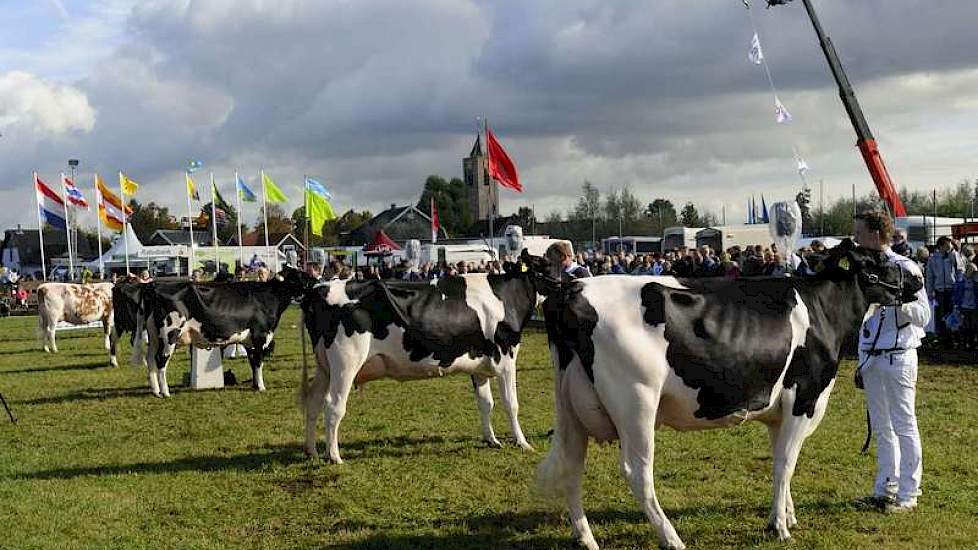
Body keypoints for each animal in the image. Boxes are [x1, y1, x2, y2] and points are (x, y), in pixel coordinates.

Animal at [141, 270, 306, 398]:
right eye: (298, 277)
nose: (310, 284)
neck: (268, 297)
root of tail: (156, 286)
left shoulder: (249, 341)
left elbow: (252, 362)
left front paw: (254, 385)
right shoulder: (260, 335)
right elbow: (259, 362)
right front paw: (261, 387)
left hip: (154, 336)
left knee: (150, 359)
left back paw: (156, 391)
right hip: (170, 334)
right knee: (161, 360)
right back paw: (165, 392)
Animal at [300, 266, 536, 464]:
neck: (506, 294)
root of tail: (318, 289)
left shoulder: (479, 365)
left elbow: (486, 403)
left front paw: (491, 440)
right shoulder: (506, 358)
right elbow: (511, 404)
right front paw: (522, 442)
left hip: (324, 367)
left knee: (313, 402)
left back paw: (312, 451)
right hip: (345, 362)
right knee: (333, 406)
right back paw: (334, 456)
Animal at [528, 246, 920, 550]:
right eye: (879, 258)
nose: (917, 278)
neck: (823, 309)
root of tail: (571, 289)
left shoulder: (779, 412)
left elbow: (782, 461)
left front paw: (788, 514)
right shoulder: (804, 398)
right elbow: (785, 464)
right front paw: (779, 526)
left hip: (572, 406)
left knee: (572, 465)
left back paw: (586, 538)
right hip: (635, 401)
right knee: (637, 472)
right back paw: (671, 537)